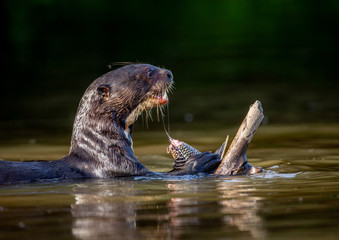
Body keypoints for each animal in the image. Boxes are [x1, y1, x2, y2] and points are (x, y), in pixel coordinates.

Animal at [0, 64, 220, 186]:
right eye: (149, 71)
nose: (169, 73)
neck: (102, 147)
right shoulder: (118, 168)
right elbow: (167, 175)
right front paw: (202, 160)